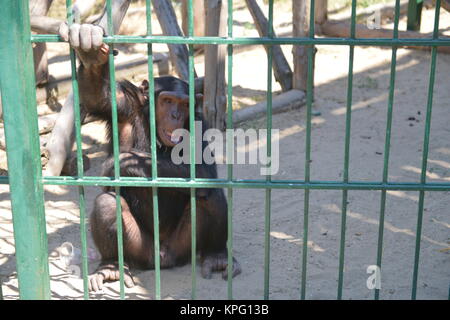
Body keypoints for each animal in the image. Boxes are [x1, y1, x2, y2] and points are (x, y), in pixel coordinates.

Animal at [62, 23, 241, 292]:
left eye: (183, 104)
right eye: (167, 101)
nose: (176, 115)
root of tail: (162, 258)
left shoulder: (199, 123)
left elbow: (203, 170)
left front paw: (122, 162)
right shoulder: (124, 105)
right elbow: (98, 95)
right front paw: (91, 51)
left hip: (184, 247)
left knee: (211, 194)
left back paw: (216, 256)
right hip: (139, 249)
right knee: (107, 205)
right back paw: (111, 267)